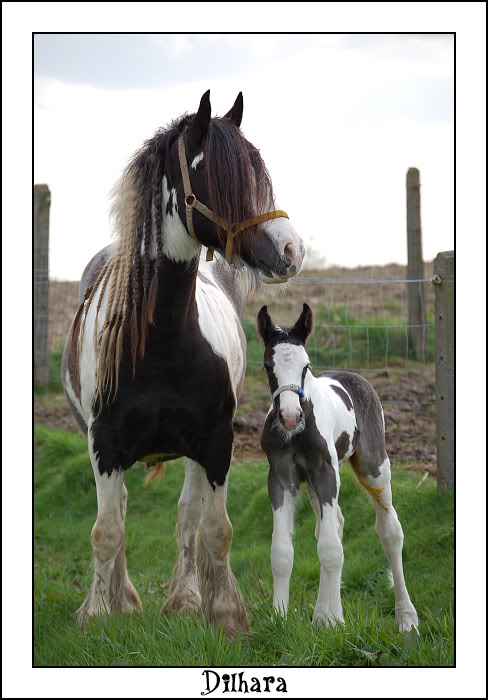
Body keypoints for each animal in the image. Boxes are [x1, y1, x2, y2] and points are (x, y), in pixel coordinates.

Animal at [60, 90, 304, 636]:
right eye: (210, 169)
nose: (291, 249)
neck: (162, 341)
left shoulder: (215, 441)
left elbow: (215, 528)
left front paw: (223, 613)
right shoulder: (103, 443)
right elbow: (106, 530)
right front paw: (97, 613)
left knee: (188, 515)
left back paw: (185, 598)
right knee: (120, 510)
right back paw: (124, 597)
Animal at [258, 304, 418, 632]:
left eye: (306, 366)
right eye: (268, 366)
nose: (290, 416)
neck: (297, 433)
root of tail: (356, 377)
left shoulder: (326, 473)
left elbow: (331, 549)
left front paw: (333, 623)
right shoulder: (281, 477)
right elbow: (282, 550)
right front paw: (281, 616)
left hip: (374, 468)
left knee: (390, 531)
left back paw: (406, 617)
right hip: (310, 483)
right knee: (335, 525)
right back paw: (323, 611)